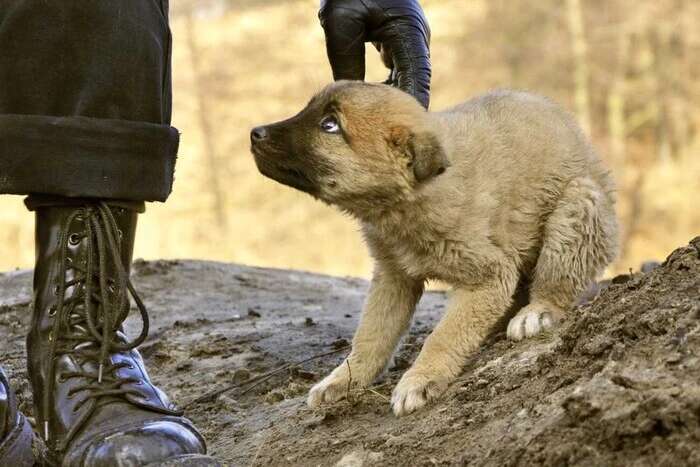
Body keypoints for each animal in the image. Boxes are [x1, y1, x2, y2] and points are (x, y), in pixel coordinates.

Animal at [247, 80, 616, 416]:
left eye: (330, 125)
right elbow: (370, 336)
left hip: (578, 205)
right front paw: (343, 379)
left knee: (557, 280)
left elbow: (443, 336)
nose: (254, 133)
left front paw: (419, 380)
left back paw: (535, 314)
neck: (409, 198)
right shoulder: (393, 278)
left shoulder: (487, 275)